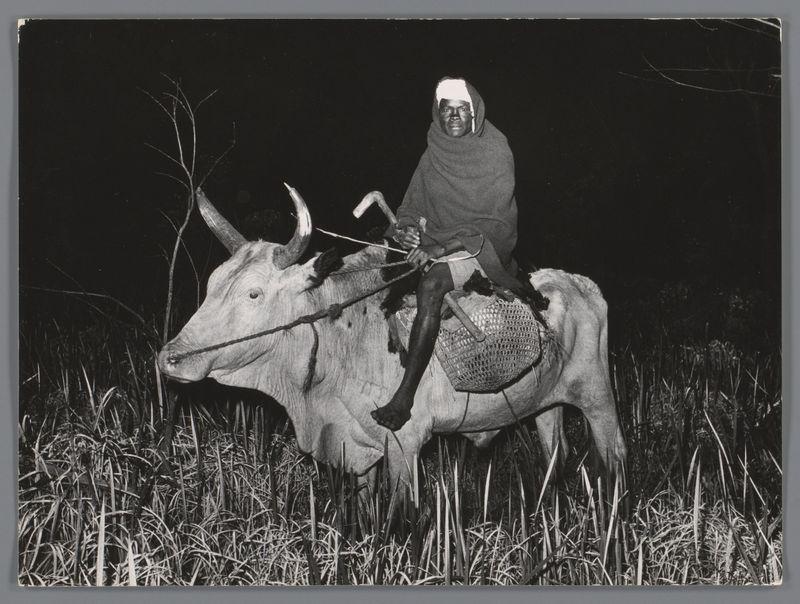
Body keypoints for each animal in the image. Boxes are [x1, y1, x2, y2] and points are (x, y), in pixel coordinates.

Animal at [157, 186, 627, 490]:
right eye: (212, 284)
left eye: (253, 293)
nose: (170, 358)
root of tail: (579, 283)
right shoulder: (355, 451)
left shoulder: (406, 447)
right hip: (545, 406)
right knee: (555, 455)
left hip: (598, 399)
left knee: (615, 456)